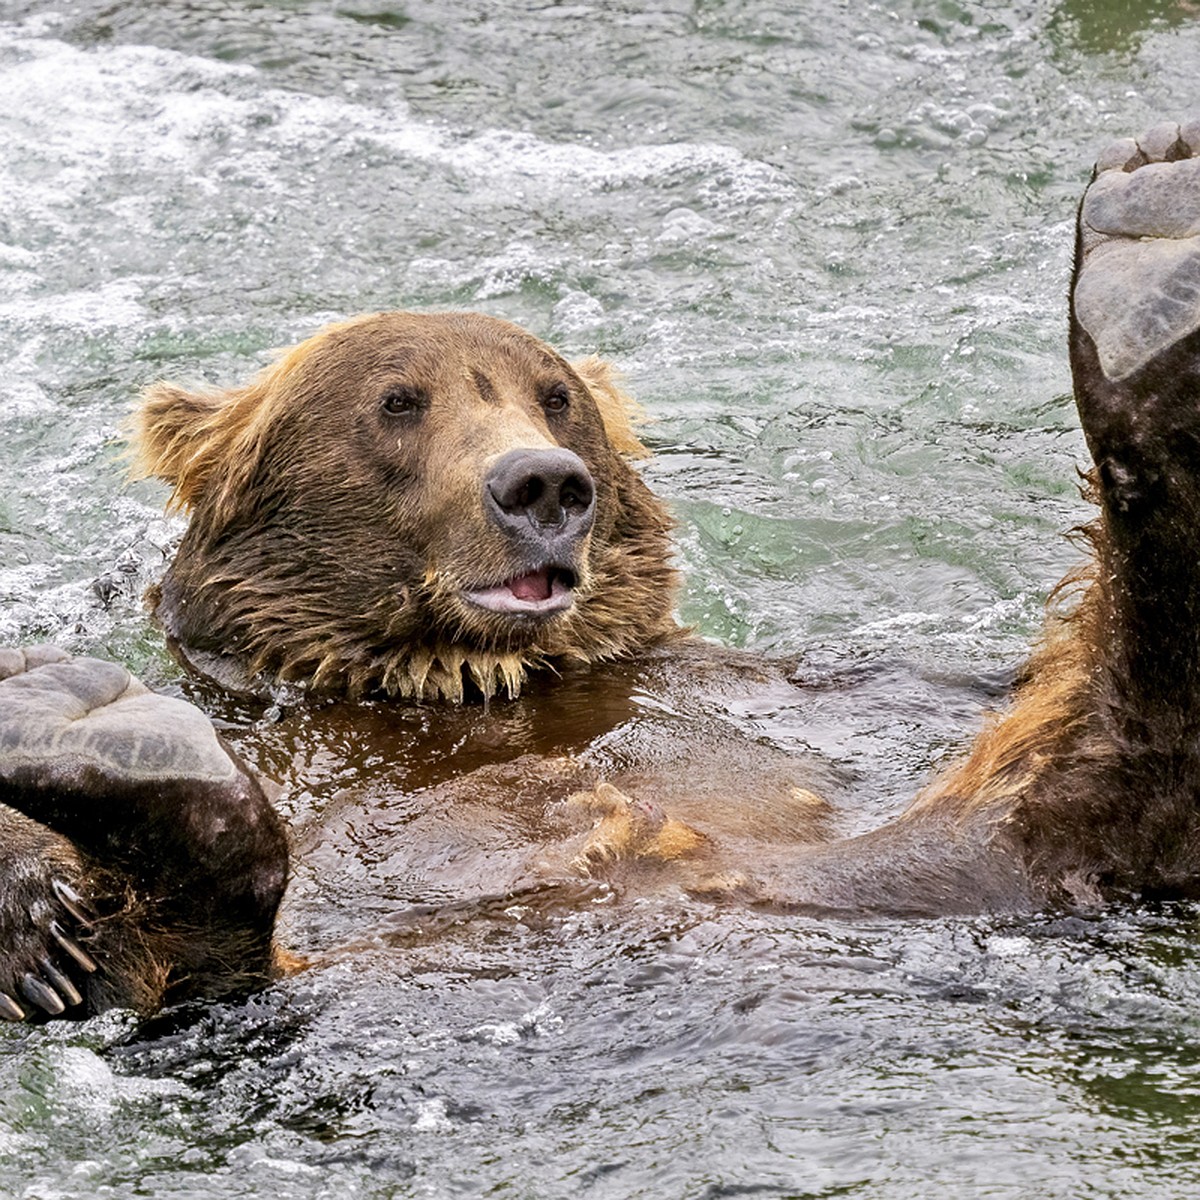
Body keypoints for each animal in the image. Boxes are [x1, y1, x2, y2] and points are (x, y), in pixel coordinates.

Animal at [2, 119, 1200, 1022]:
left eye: (552, 394)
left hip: (956, 851)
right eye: (398, 400)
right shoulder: (275, 723)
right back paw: (94, 727)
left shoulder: (795, 684)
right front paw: (39, 917)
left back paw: (1149, 252)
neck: (459, 677)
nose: (543, 484)